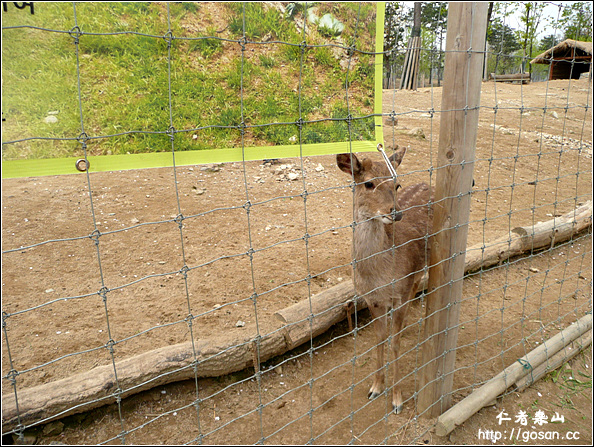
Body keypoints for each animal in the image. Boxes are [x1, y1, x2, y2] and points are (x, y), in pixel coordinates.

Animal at [338, 147, 430, 416]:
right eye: (369, 183)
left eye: (397, 184)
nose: (396, 212)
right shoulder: (372, 300)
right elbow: (380, 339)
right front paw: (375, 388)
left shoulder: (397, 295)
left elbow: (395, 343)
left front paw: (397, 399)